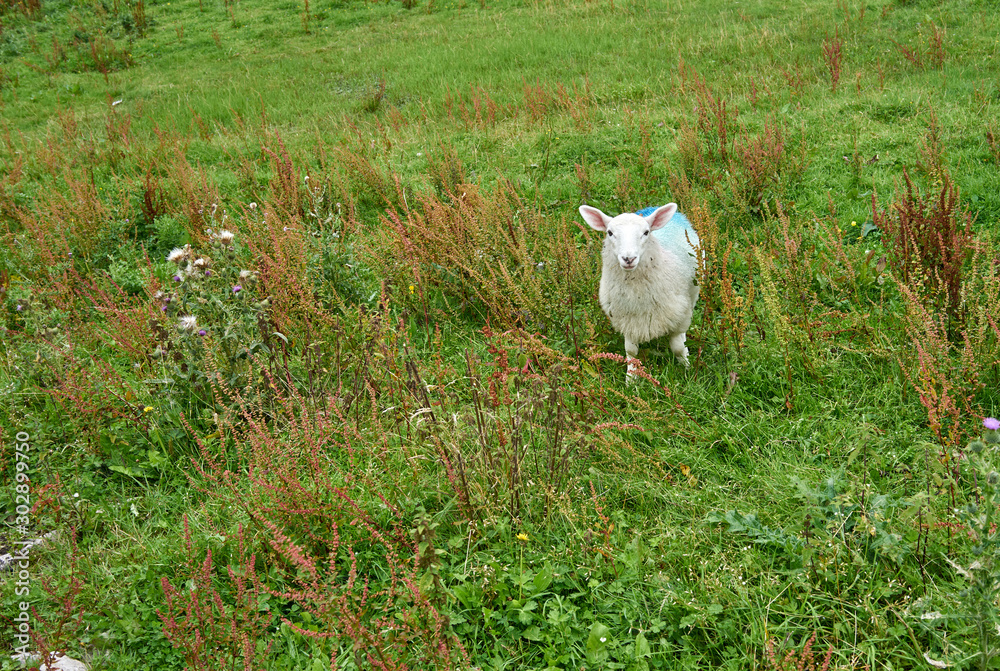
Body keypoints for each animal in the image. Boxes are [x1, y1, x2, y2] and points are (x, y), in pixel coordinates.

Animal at [579, 202, 700, 379]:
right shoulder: (628, 319)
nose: (628, 259)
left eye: (646, 232)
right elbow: (631, 351)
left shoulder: (679, 312)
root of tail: (653, 208)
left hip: (693, 291)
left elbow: (677, 346)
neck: (637, 296)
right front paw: (631, 378)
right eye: (610, 233)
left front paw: (687, 369)